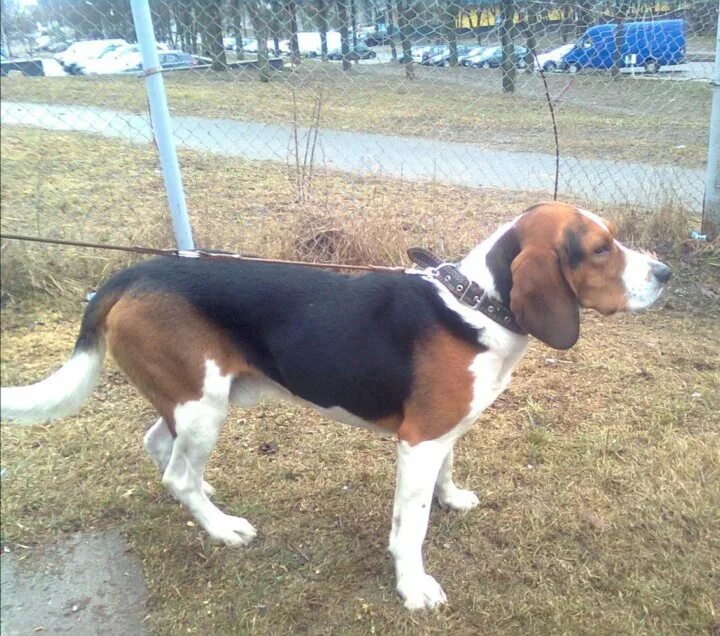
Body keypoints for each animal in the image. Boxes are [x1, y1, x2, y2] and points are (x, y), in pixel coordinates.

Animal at [2, 204, 672, 612]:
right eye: (600, 249)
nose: (665, 272)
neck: (477, 304)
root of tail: (132, 273)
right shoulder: (419, 440)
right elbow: (410, 526)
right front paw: (413, 586)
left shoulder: (444, 433)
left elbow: (448, 471)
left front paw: (452, 498)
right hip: (202, 403)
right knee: (175, 474)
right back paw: (221, 527)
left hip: (202, 397)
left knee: (160, 448)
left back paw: (207, 494)